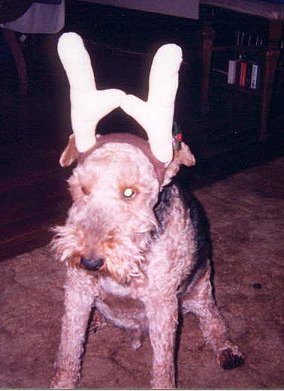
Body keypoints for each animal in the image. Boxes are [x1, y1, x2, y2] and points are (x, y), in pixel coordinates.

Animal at [49, 33, 244, 388]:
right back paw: (97, 322)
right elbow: (68, 352)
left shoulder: (162, 304)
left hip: (199, 289)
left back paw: (227, 351)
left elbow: (164, 366)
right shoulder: (78, 292)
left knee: (213, 320)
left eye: (130, 192)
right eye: (82, 189)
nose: (90, 262)